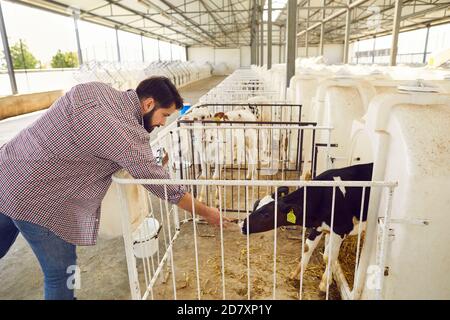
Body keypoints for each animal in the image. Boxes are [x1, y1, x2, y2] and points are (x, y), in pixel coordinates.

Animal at [241, 164, 374, 292]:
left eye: (266, 215)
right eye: (256, 204)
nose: (242, 225)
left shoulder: (340, 229)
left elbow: (329, 257)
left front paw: (324, 284)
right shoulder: (319, 227)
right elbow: (307, 248)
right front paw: (295, 275)